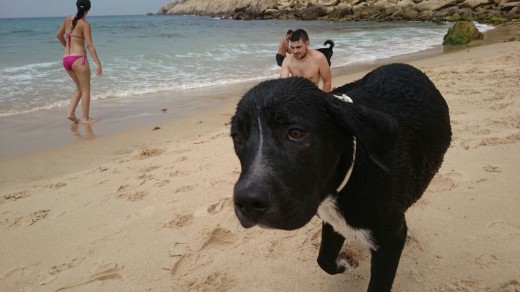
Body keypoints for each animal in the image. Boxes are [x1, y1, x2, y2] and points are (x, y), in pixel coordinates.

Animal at [232, 63, 450, 290]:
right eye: (237, 137)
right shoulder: (333, 221)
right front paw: (344, 264)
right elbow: (324, 259)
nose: (247, 202)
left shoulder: (389, 241)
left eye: (296, 133)